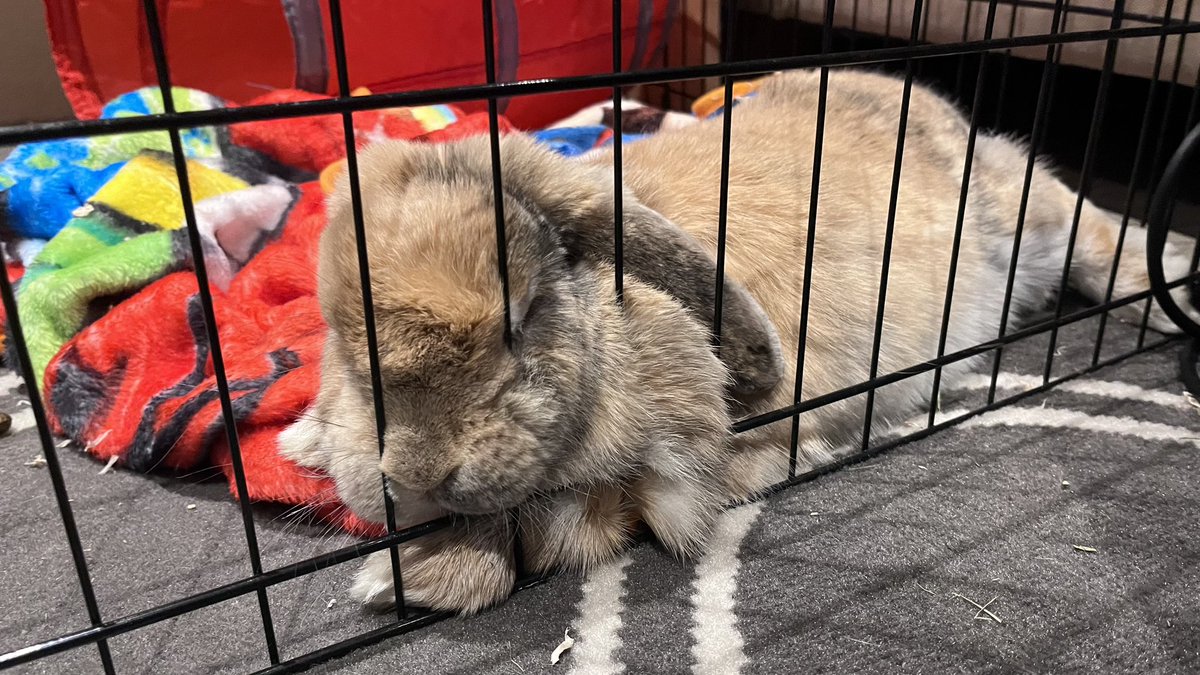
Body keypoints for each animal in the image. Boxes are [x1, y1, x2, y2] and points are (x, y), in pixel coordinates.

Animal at [281, 67, 1200, 614]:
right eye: (340, 338)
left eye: (526, 313)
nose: (417, 472)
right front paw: (310, 446)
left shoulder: (663, 476)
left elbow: (536, 528)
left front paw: (396, 577)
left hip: (1028, 213)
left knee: (1100, 234)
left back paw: (1172, 292)